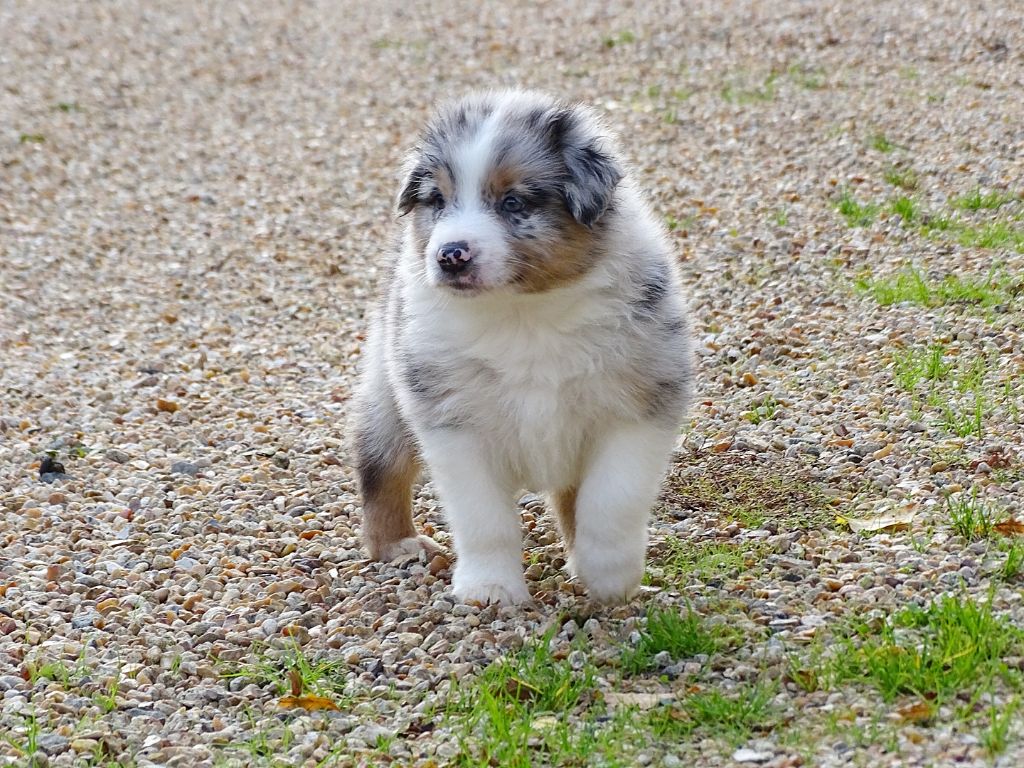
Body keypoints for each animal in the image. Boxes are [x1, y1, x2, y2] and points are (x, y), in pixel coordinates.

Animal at [353, 90, 693, 605]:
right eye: (438, 200)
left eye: (513, 201)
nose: (450, 255)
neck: (522, 313)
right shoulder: (453, 421)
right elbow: (483, 517)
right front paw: (489, 589)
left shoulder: (639, 406)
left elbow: (611, 498)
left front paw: (609, 577)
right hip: (389, 395)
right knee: (381, 470)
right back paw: (399, 545)